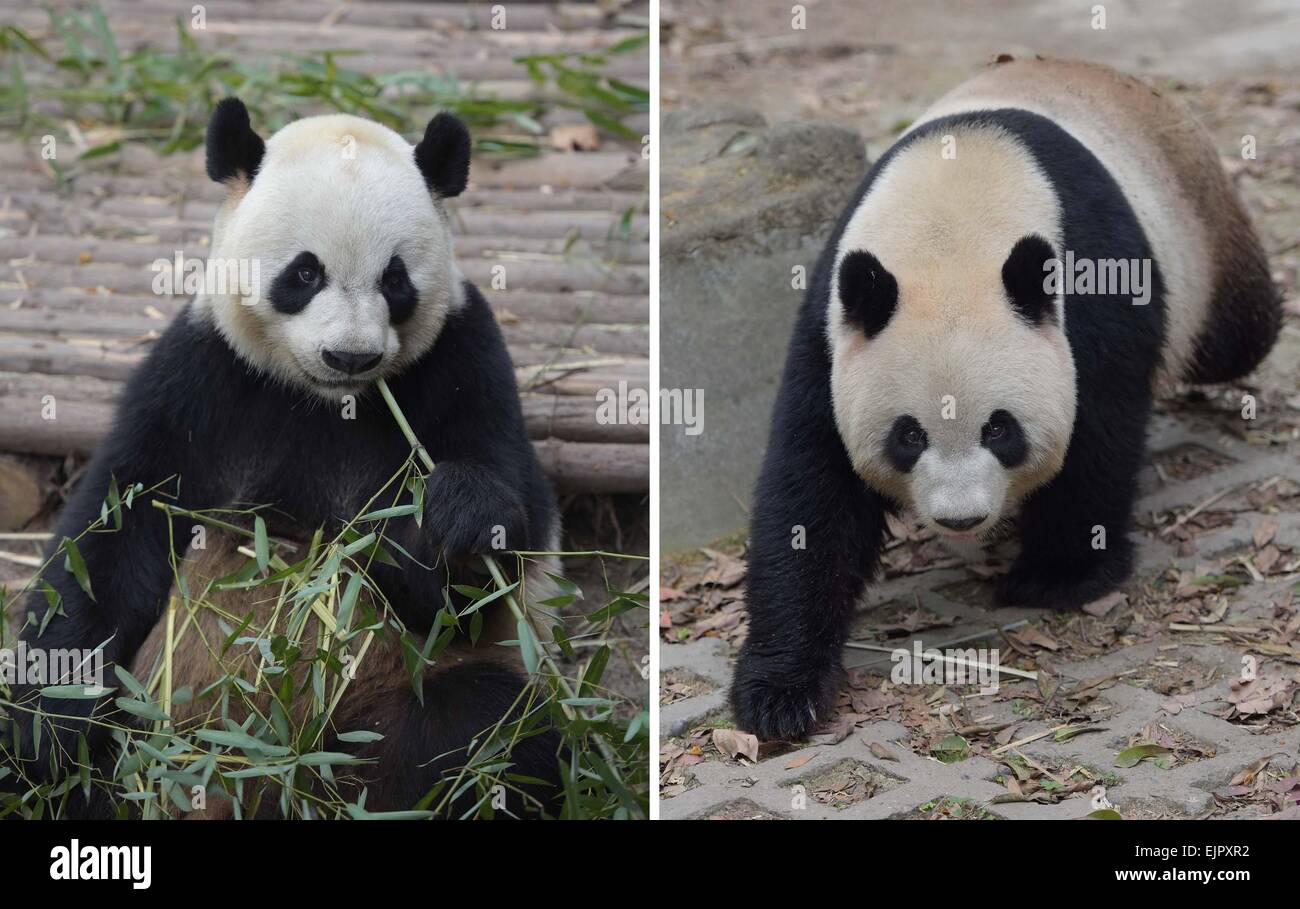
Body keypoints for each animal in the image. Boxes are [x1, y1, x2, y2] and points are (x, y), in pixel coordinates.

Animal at [6, 97, 564, 816]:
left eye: (395, 279)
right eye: (304, 273)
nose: (350, 356)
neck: (326, 402)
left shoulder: (464, 359)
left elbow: (466, 584)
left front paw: (455, 515)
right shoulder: (202, 378)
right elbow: (114, 537)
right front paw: (49, 727)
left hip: (384, 709)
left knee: (483, 734)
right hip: (149, 725)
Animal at [733, 56, 1279, 743]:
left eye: (999, 429)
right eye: (908, 435)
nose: (961, 518)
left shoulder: (1094, 289)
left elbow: (1098, 434)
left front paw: (1058, 575)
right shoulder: (833, 326)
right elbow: (811, 490)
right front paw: (780, 693)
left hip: (1197, 236)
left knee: (1238, 335)